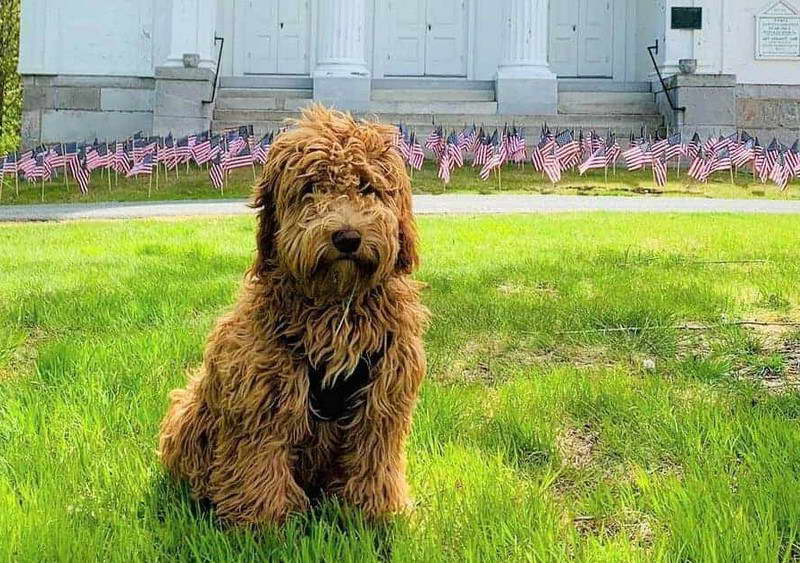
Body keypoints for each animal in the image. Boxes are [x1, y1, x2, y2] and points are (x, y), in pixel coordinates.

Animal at [159, 104, 428, 528]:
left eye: (367, 186)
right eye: (311, 188)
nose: (347, 237)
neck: (336, 306)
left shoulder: (384, 394)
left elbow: (374, 456)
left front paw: (374, 512)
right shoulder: (261, 391)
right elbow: (258, 462)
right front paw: (266, 524)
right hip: (190, 409)